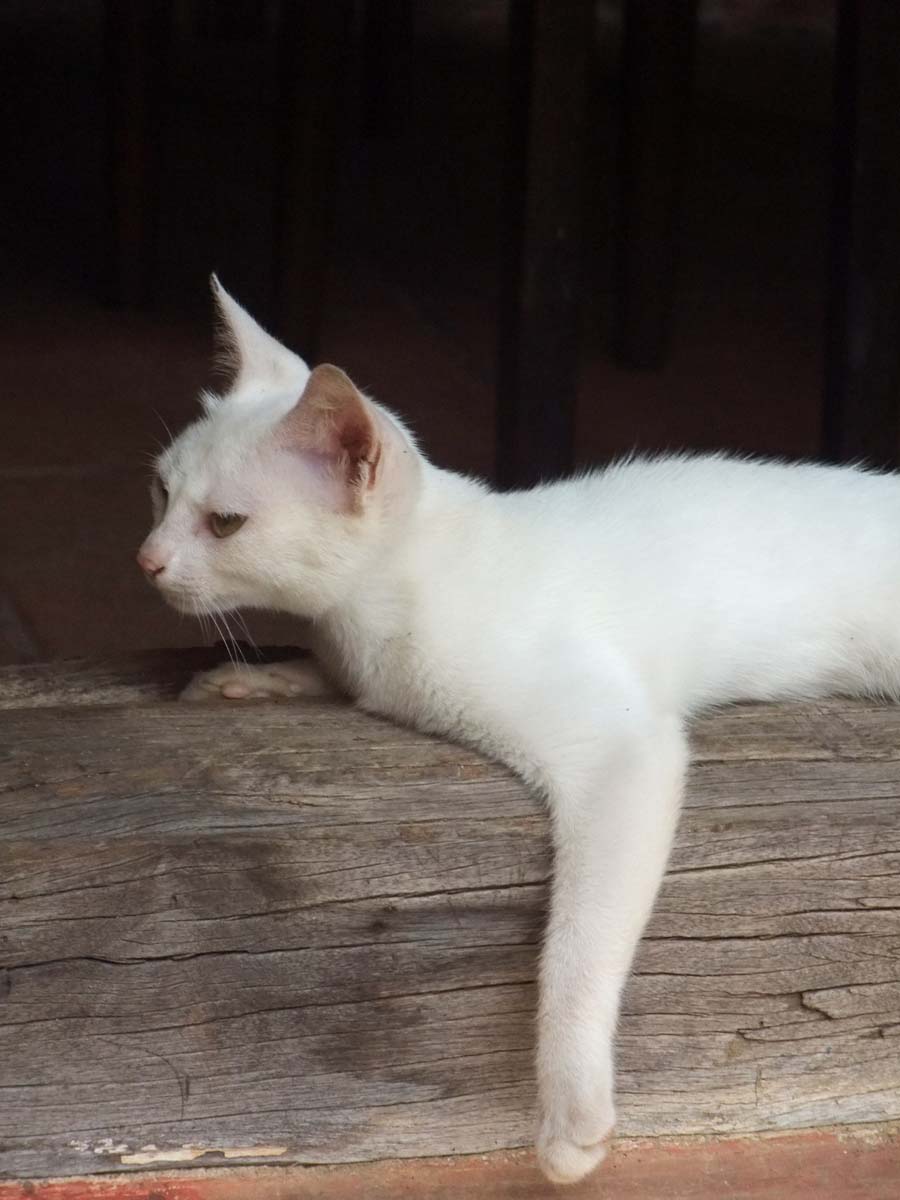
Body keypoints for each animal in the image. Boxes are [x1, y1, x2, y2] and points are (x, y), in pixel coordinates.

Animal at [139, 278, 900, 1180]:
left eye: (225, 523)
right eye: (160, 491)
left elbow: (578, 946)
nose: (146, 560)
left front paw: (573, 1110)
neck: (384, 604)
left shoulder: (624, 747)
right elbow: (330, 679)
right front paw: (250, 680)